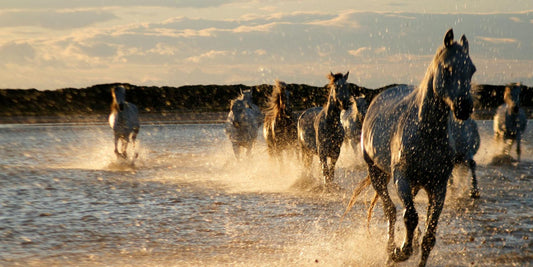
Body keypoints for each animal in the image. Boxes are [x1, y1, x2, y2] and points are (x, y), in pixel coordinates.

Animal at [344, 29, 474, 266]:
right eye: (447, 68)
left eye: (472, 69)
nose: (464, 107)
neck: (426, 132)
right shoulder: (401, 178)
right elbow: (410, 216)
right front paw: (401, 250)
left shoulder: (438, 186)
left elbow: (429, 237)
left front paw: (410, 247)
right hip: (377, 173)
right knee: (391, 211)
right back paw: (391, 249)